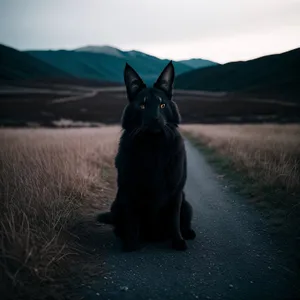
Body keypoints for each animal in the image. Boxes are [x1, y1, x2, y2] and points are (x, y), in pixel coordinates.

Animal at [96, 61, 195, 251]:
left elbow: (174, 220)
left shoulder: (175, 192)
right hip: (116, 204)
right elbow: (131, 219)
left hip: (187, 203)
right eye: (142, 106)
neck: (153, 145)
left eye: (162, 105)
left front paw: (178, 241)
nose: (154, 119)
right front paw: (131, 243)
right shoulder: (128, 189)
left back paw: (188, 232)